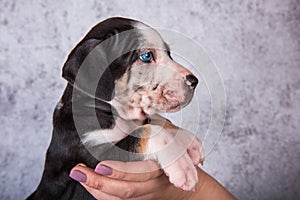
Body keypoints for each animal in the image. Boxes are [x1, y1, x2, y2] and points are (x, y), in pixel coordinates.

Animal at [27, 17, 204, 200]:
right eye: (146, 56)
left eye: (168, 53)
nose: (194, 81)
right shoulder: (95, 159)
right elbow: (146, 131)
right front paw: (182, 165)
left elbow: (152, 121)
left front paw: (187, 140)